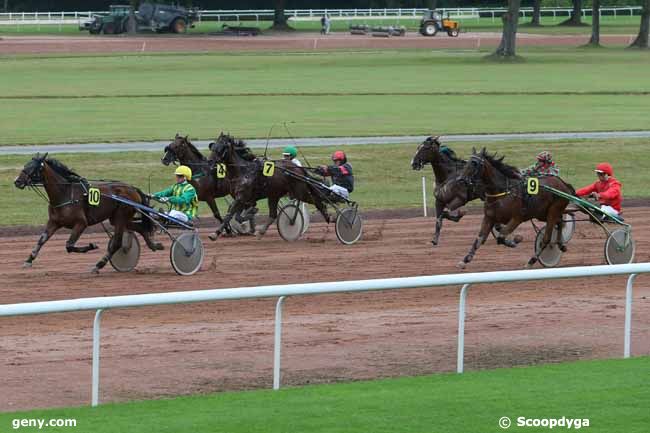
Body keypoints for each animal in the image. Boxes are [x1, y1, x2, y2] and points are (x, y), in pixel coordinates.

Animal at [13, 154, 161, 272]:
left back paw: (98, 265)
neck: (65, 193)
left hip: (121, 216)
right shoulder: (54, 222)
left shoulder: (81, 223)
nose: (17, 182)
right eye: (25, 165)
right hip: (118, 218)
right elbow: (41, 240)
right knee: (141, 228)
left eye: (33, 168)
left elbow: (69, 245)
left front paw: (91, 246)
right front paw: (29, 260)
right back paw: (154, 245)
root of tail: (133, 188)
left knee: (117, 243)